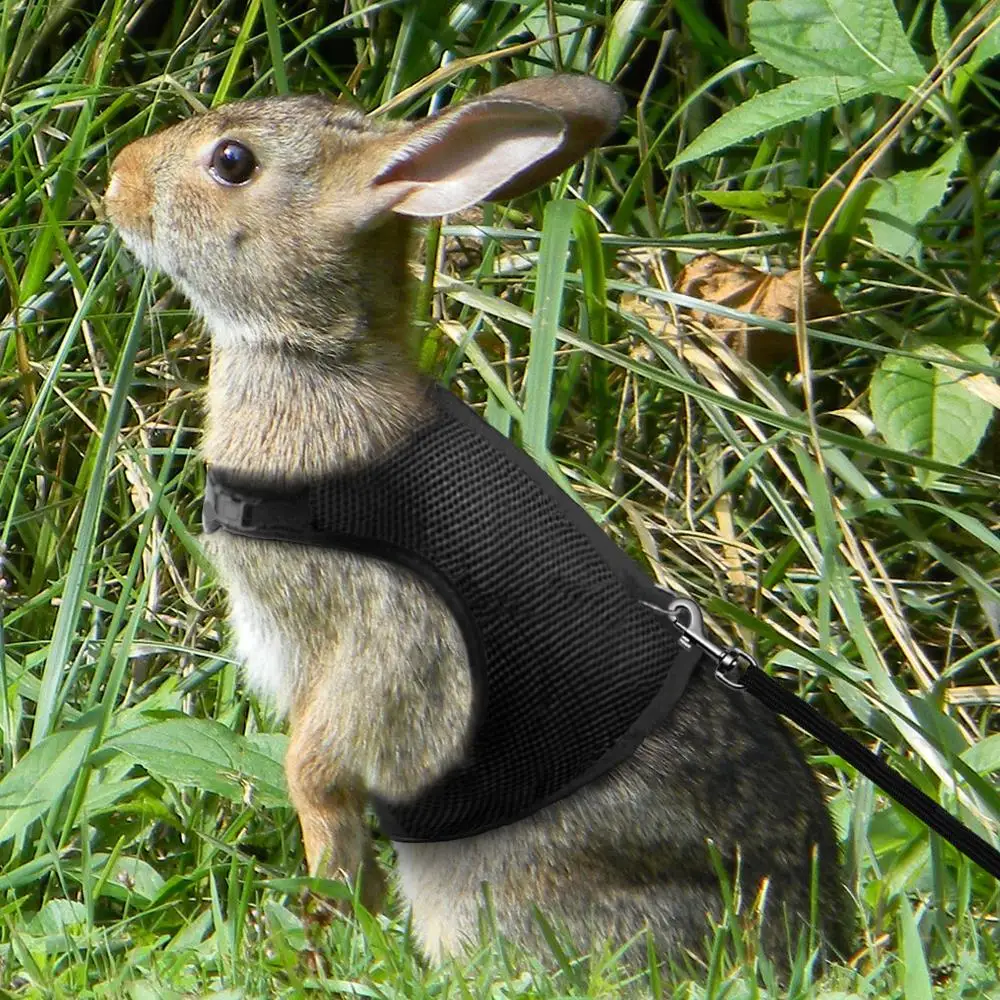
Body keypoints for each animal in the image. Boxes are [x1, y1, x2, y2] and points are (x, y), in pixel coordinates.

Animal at [105, 78, 848, 968]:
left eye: (232, 162)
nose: (115, 179)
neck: (319, 355)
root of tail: (806, 931)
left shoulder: (383, 632)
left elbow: (321, 771)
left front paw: (331, 917)